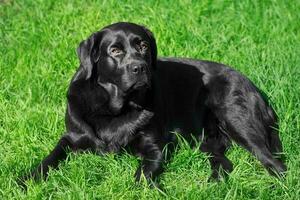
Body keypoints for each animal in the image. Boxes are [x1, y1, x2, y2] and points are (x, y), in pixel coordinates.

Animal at [19, 21, 288, 188]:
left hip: (236, 118)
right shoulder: (71, 137)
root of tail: (256, 90)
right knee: (224, 162)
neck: (114, 109)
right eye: (115, 50)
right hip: (209, 140)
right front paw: (27, 179)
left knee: (274, 162)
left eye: (143, 45)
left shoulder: (155, 148)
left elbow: (142, 174)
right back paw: (213, 185)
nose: (140, 67)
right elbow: (51, 157)